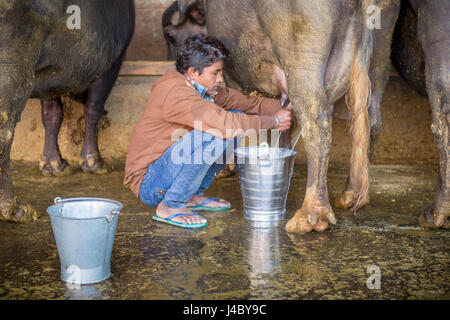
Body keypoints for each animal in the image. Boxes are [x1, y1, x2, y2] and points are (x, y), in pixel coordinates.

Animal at [0, 0, 134, 221]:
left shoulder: (48, 81)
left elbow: (52, 116)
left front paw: (53, 164)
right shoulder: (110, 66)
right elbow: (93, 110)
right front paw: (94, 162)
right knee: (5, 131)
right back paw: (15, 208)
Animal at [178, 0, 400, 232]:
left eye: (169, 33)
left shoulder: (231, 78)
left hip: (303, 58)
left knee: (317, 122)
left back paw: (308, 217)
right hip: (380, 52)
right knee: (371, 118)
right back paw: (349, 195)